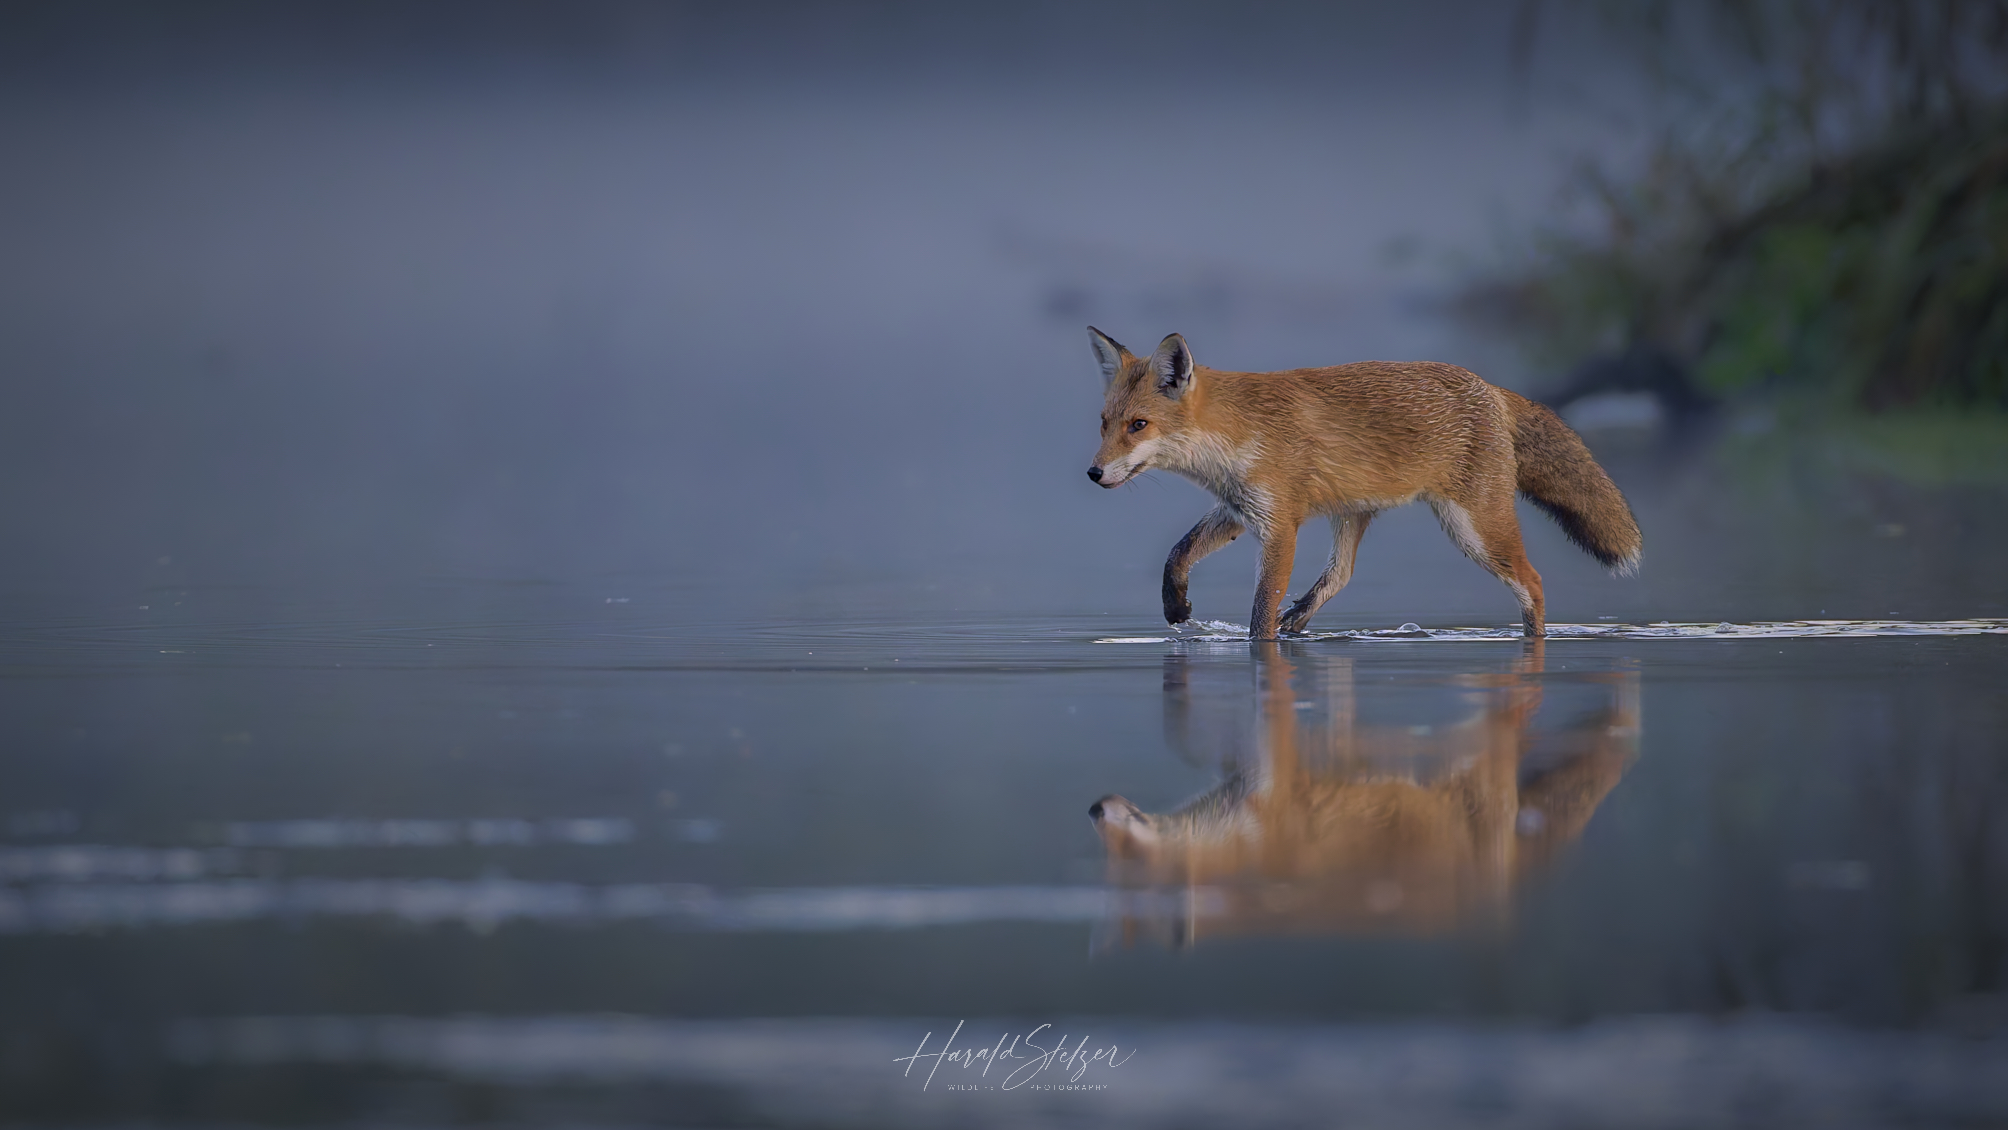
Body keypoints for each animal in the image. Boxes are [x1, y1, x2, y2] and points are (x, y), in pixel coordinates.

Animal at [1084, 328, 1642, 637]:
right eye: (1104, 424)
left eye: (1138, 425)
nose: (1093, 473)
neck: (1236, 433)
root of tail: (1489, 387)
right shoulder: (1240, 509)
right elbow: (1177, 553)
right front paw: (1175, 605)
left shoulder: (1280, 525)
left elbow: (1261, 611)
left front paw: (1258, 646)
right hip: (1352, 514)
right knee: (1341, 575)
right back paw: (1300, 620)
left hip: (1475, 530)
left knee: (1534, 583)